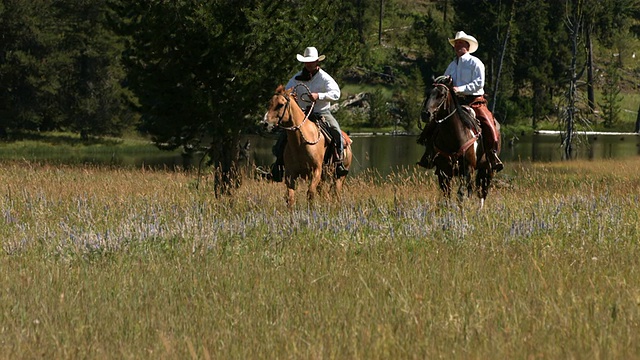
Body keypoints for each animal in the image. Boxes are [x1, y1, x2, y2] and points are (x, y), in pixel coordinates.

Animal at [422, 74, 498, 207]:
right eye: (427, 93)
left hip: (487, 169)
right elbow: (447, 194)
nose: (426, 114)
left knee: (482, 192)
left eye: (441, 94)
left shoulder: (467, 169)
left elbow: (461, 194)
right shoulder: (443, 171)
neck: (453, 137)